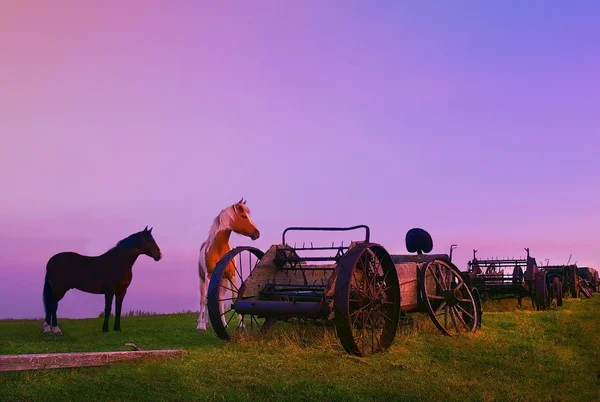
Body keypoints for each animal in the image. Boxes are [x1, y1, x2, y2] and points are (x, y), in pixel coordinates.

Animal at [196, 199, 258, 332]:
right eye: (243, 216)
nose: (257, 233)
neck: (219, 248)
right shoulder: (209, 276)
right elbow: (205, 300)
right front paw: (202, 326)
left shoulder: (232, 275)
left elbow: (234, 297)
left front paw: (241, 324)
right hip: (202, 280)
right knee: (203, 299)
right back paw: (201, 323)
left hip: (223, 282)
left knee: (219, 300)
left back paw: (223, 323)